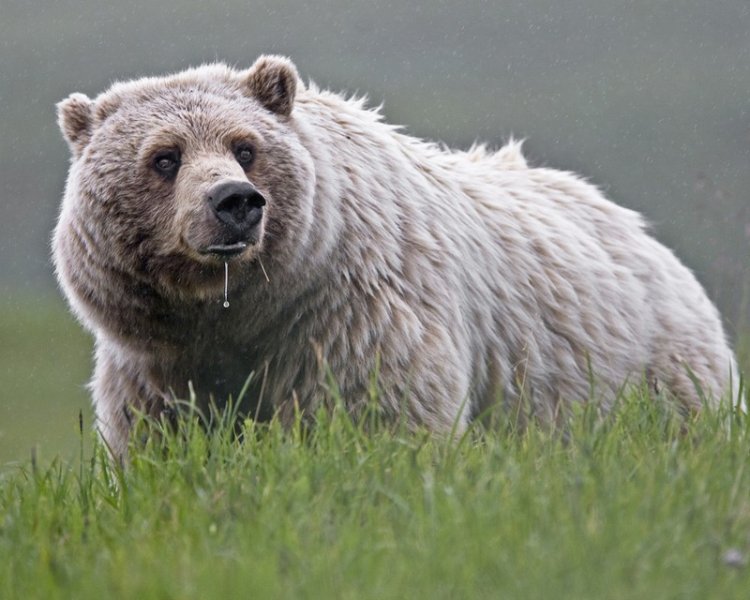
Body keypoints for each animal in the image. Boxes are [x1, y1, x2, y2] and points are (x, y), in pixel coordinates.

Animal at [54, 55, 748, 460]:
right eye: (164, 157)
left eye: (245, 147)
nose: (235, 202)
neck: (242, 310)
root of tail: (645, 234)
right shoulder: (161, 362)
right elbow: (164, 441)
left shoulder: (350, 314)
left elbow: (380, 415)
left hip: (650, 373)